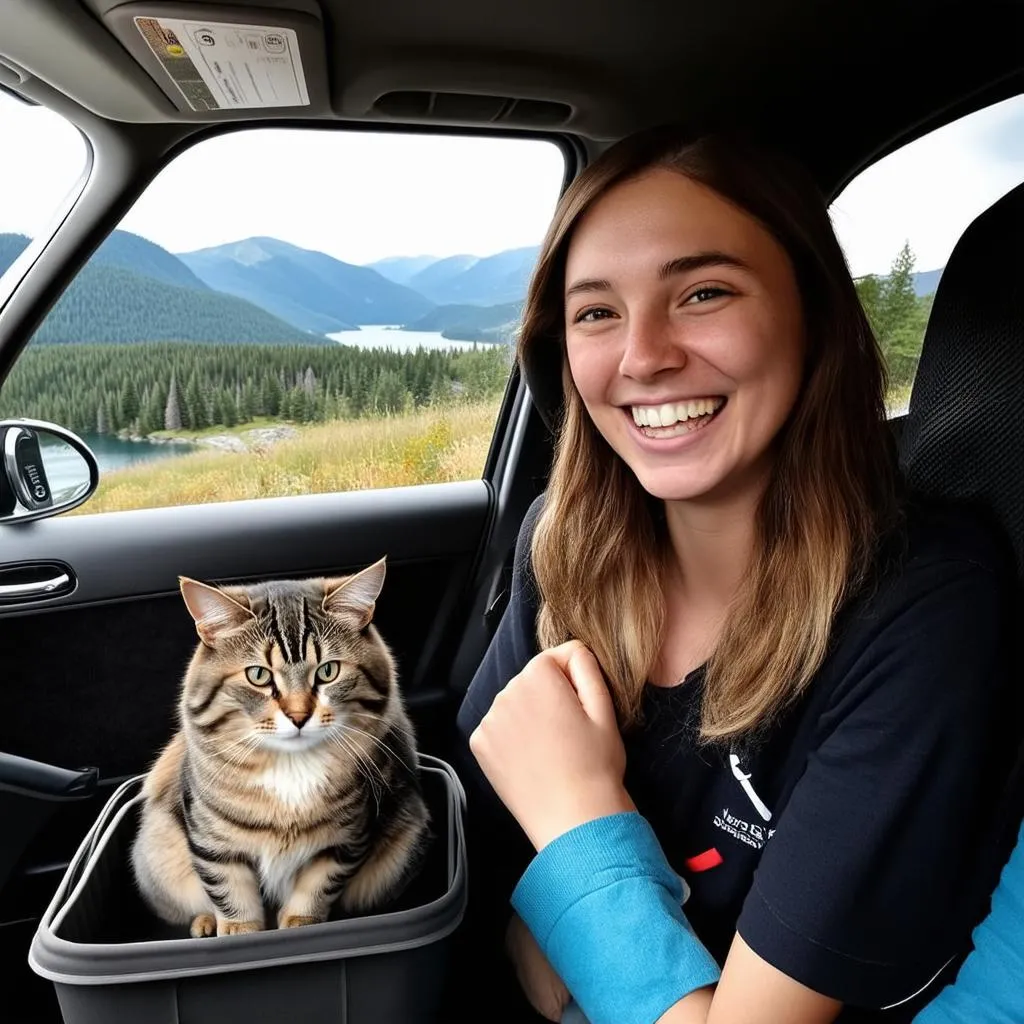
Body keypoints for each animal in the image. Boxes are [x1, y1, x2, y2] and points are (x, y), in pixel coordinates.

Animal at [131, 561, 428, 937]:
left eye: (328, 671)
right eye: (258, 676)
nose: (299, 716)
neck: (291, 765)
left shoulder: (345, 841)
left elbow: (317, 889)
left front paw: (300, 926)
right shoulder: (214, 846)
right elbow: (230, 897)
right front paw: (238, 933)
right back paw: (204, 924)